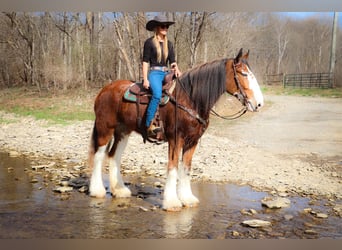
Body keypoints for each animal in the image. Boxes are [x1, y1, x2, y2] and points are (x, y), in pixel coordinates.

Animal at [88, 48, 264, 211]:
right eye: (243, 73)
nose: (259, 103)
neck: (190, 99)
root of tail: (104, 90)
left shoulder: (192, 142)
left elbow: (186, 168)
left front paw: (187, 198)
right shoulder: (175, 139)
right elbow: (173, 168)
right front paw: (172, 202)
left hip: (123, 132)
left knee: (114, 156)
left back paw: (119, 190)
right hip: (105, 129)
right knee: (99, 156)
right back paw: (97, 190)